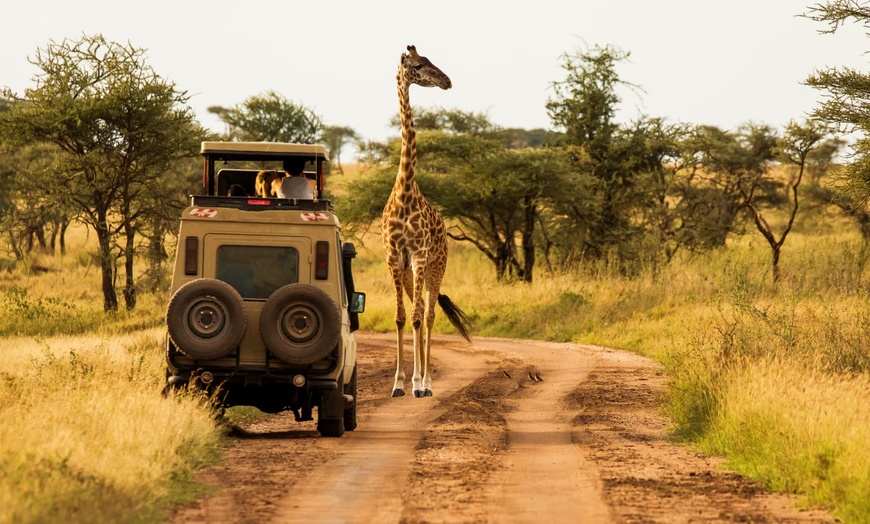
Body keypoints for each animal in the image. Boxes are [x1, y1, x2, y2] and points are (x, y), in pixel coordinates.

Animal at [384, 45, 474, 398]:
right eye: (419, 65)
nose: (447, 81)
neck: (405, 191)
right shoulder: (395, 258)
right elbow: (400, 317)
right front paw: (397, 383)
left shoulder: (420, 257)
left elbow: (418, 317)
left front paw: (417, 383)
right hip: (412, 272)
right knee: (419, 310)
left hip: (437, 267)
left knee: (431, 314)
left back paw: (428, 383)